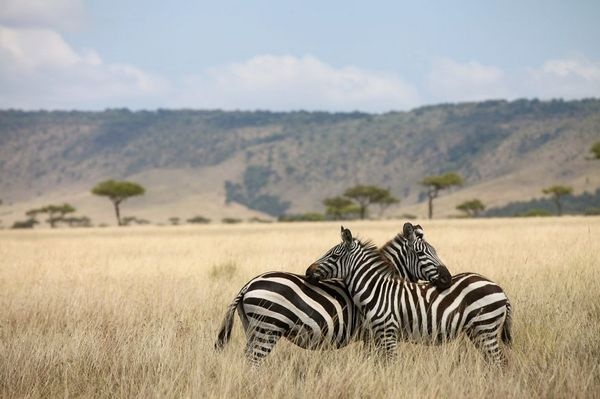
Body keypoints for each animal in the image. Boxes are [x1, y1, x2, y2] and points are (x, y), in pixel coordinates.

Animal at [214, 223, 450, 368]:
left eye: (435, 251)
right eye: (421, 253)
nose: (447, 278)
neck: (380, 283)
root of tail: (249, 284)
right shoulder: (372, 333)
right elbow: (375, 360)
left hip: (253, 327)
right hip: (269, 327)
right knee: (254, 360)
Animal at [308, 227, 512, 368]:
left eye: (333, 256)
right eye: (422, 252)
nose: (308, 272)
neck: (376, 288)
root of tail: (500, 289)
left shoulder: (386, 332)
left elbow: (389, 364)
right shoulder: (376, 335)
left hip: (485, 327)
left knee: (500, 362)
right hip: (477, 331)